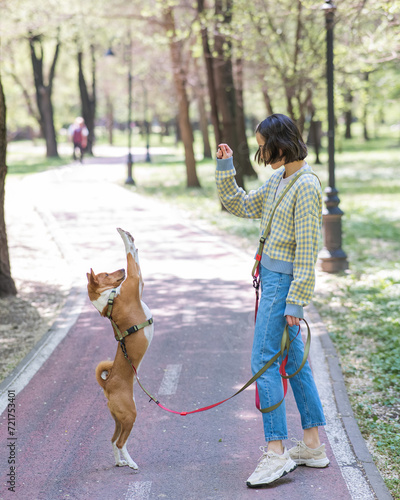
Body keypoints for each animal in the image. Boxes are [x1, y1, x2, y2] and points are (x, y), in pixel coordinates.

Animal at [86, 229, 154, 470]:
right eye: (106, 273)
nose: (121, 271)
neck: (109, 299)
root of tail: (106, 385)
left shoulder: (138, 283)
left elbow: (135, 257)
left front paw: (132, 240)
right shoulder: (135, 280)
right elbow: (130, 256)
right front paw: (125, 235)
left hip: (119, 418)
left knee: (113, 440)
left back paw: (120, 462)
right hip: (130, 415)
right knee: (121, 442)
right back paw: (132, 463)